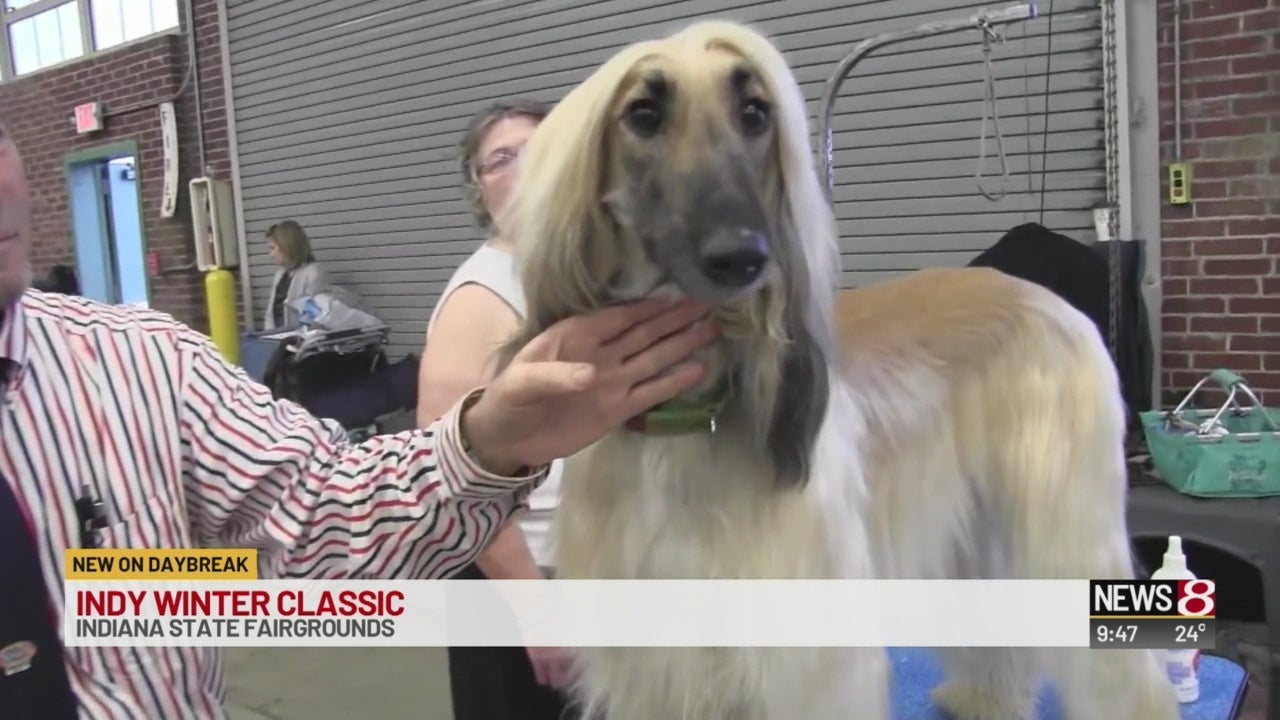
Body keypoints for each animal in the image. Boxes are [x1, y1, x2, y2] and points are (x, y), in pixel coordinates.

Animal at [494, 16, 1182, 717]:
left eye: (754, 112)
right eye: (643, 114)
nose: (743, 256)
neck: (686, 425)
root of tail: (1035, 291)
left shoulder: (801, 650)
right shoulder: (657, 659)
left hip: (1064, 508)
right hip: (973, 509)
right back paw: (983, 696)